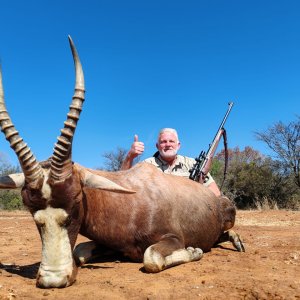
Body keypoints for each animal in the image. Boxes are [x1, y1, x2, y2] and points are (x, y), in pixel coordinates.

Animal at [0, 37, 244, 288]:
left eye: (76, 199)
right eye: (30, 207)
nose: (53, 279)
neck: (130, 201)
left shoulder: (173, 238)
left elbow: (151, 258)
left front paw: (195, 251)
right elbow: (80, 252)